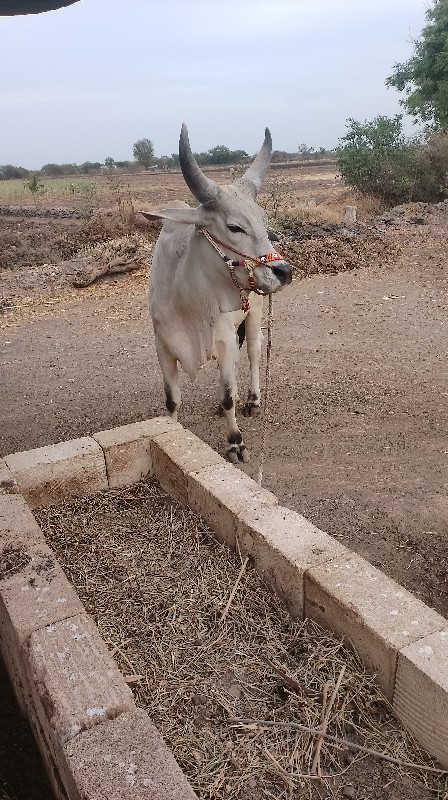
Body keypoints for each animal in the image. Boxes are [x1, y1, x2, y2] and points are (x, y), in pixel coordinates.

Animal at [141, 125, 294, 462]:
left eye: (263, 221)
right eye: (234, 227)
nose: (283, 271)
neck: (189, 301)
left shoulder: (223, 337)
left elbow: (227, 397)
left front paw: (236, 442)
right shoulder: (162, 346)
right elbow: (171, 399)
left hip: (254, 313)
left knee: (252, 353)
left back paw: (252, 400)